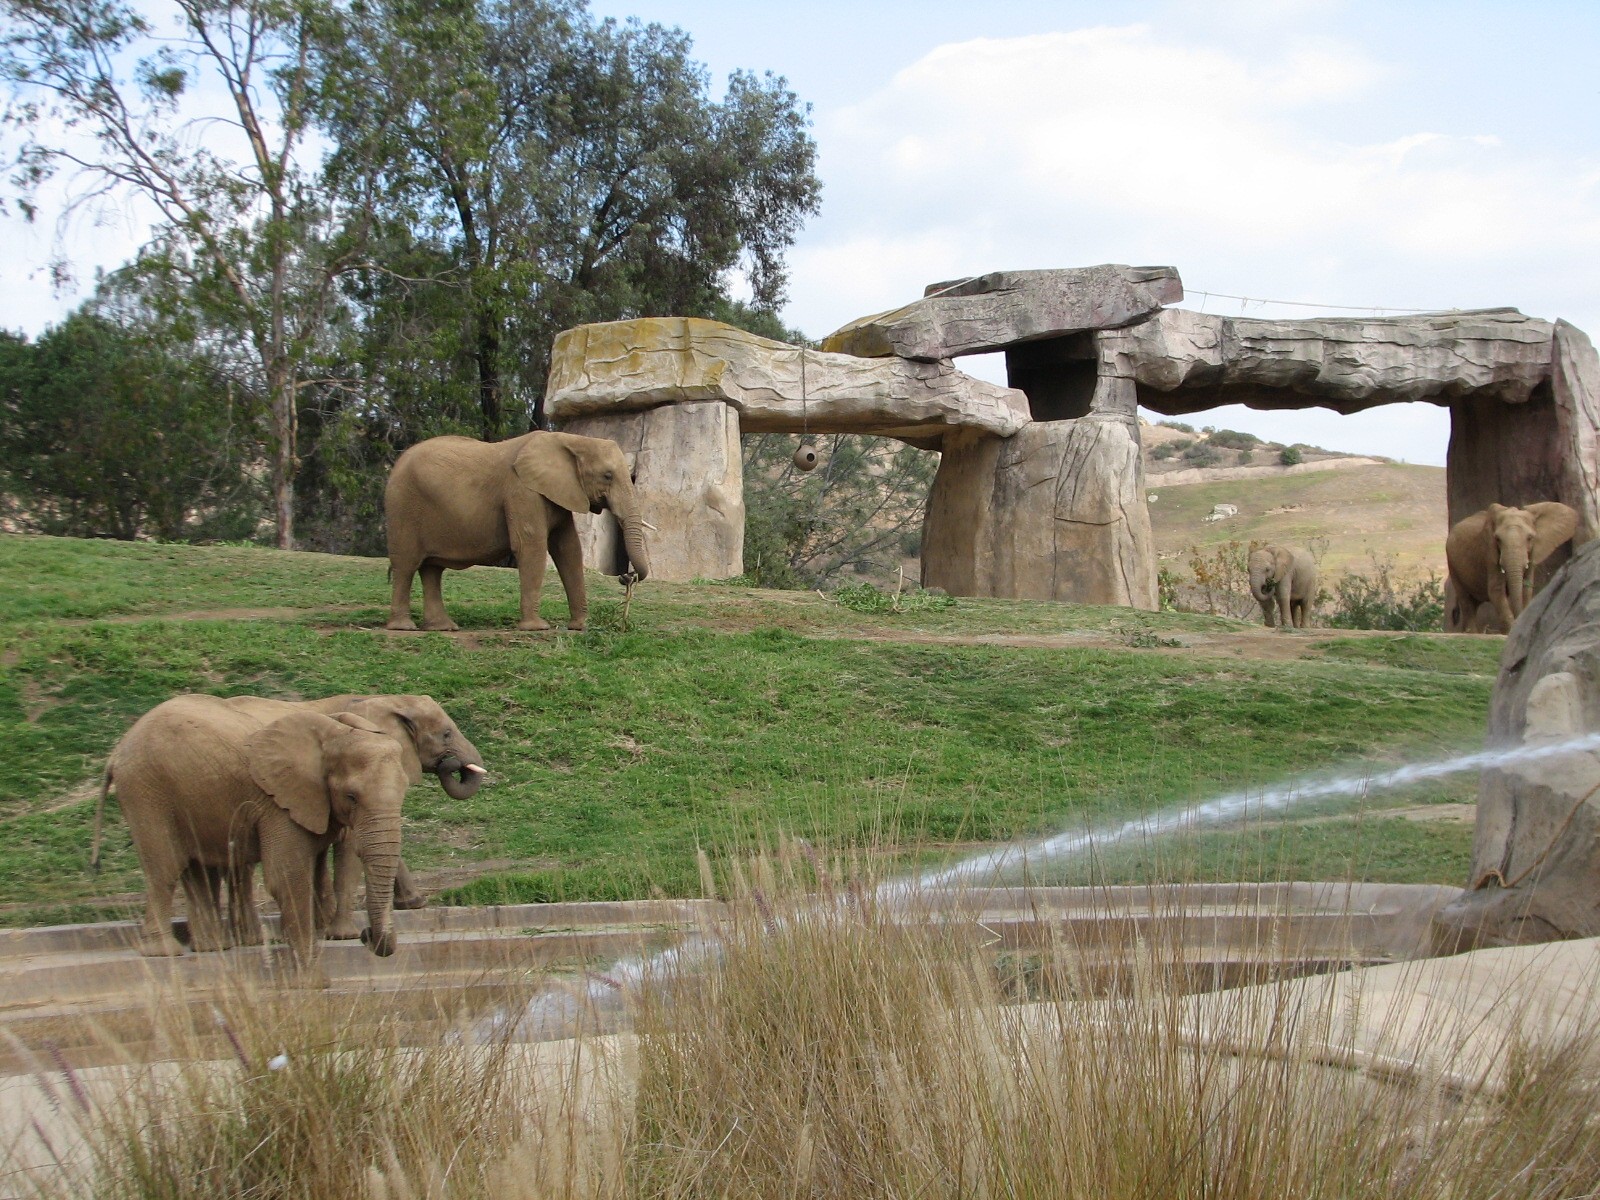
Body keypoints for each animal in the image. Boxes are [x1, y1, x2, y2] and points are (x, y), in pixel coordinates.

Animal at [92, 696, 410, 965]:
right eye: (351, 797)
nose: (366, 935)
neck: (333, 733)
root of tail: (117, 750)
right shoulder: (279, 801)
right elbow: (286, 873)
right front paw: (307, 956)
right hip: (146, 791)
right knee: (165, 868)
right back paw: (164, 953)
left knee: (193, 869)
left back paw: (213, 948)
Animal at [385, 431, 650, 632]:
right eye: (607, 475)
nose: (626, 576)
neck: (572, 439)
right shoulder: (522, 491)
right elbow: (531, 546)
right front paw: (537, 628)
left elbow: (568, 549)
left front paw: (580, 626)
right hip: (403, 506)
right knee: (406, 564)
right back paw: (403, 627)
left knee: (432, 569)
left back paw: (443, 628)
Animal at [1445, 502, 1579, 633]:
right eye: (1498, 539)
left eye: (1530, 538)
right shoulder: (1490, 554)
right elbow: (1496, 590)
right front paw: (1509, 632)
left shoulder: (1532, 553)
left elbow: (1526, 589)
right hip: (1452, 564)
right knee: (1466, 600)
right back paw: (1471, 632)